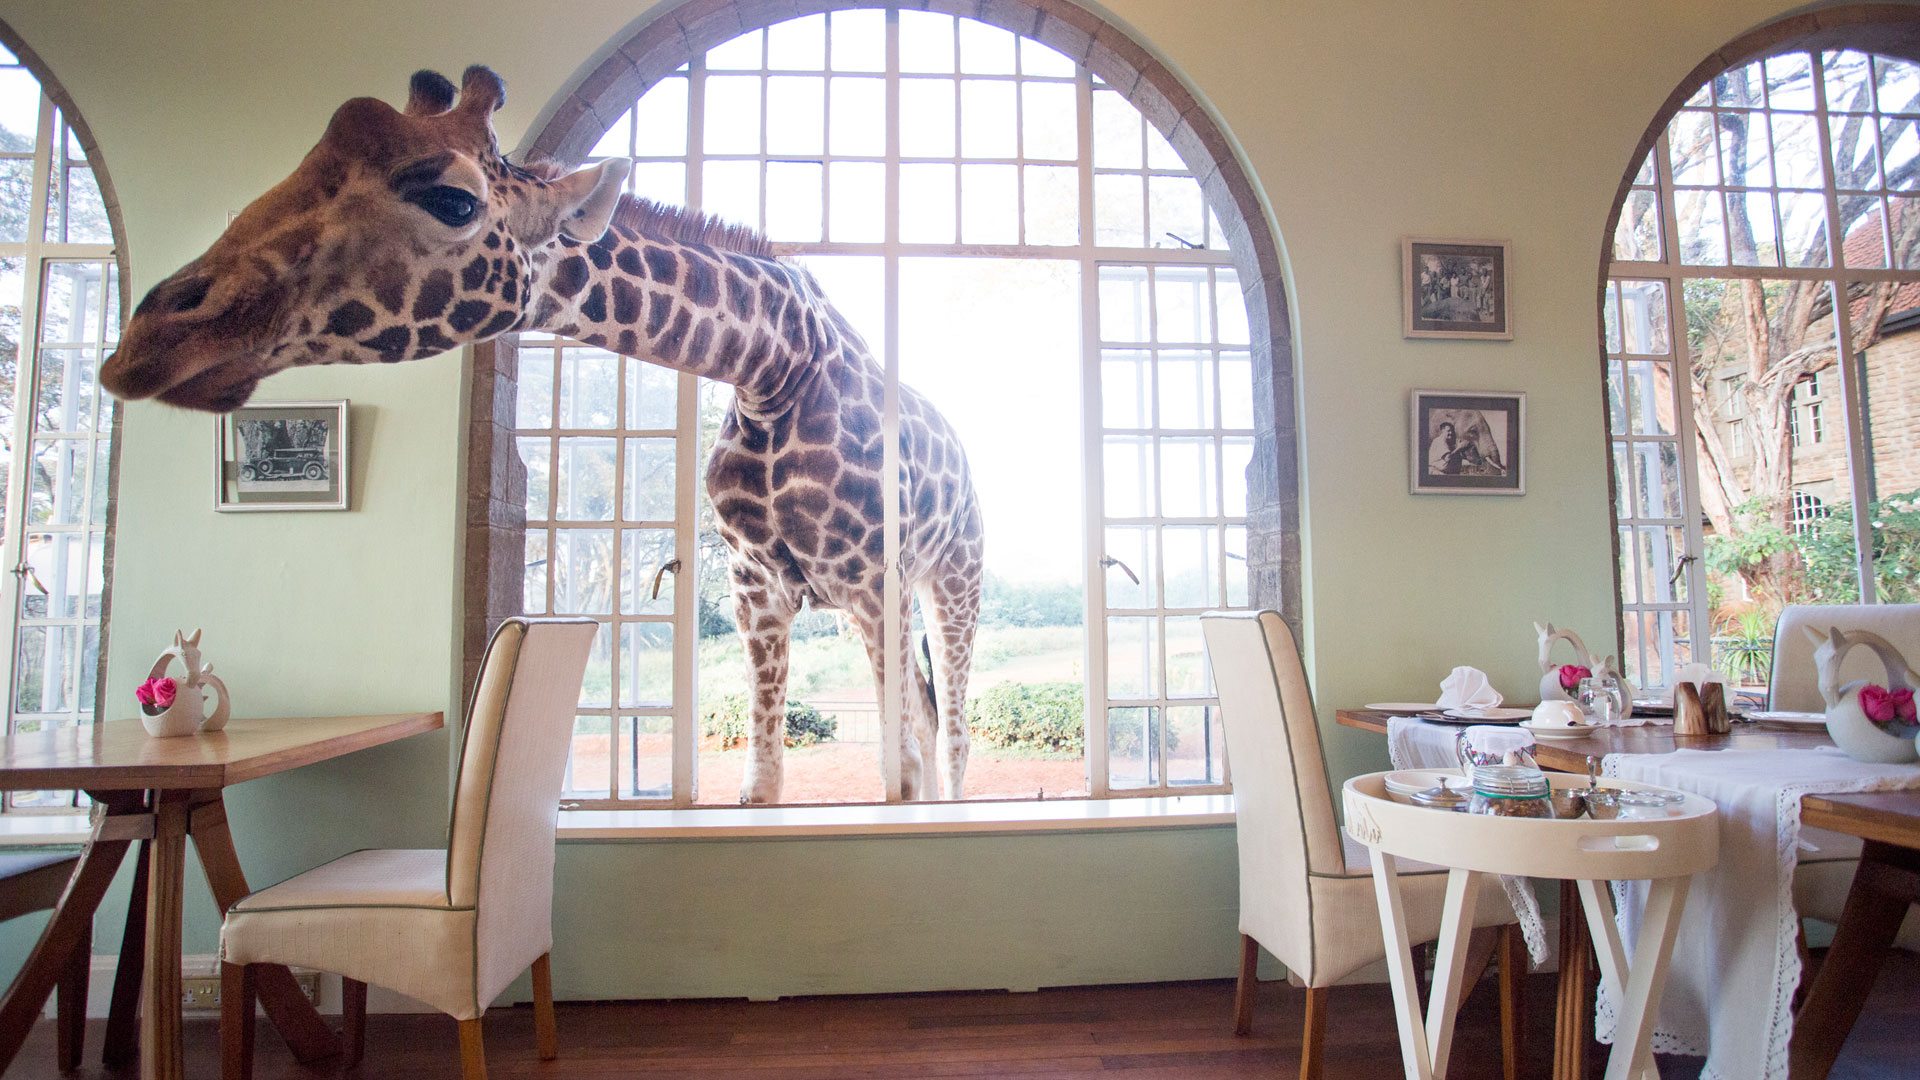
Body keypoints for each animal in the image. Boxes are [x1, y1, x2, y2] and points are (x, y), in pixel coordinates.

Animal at [98, 67, 984, 803]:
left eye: (453, 200)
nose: (152, 339)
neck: (775, 370)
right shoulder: (758, 592)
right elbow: (762, 785)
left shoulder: (872, 582)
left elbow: (899, 774)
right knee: (930, 719)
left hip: (951, 584)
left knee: (950, 731)